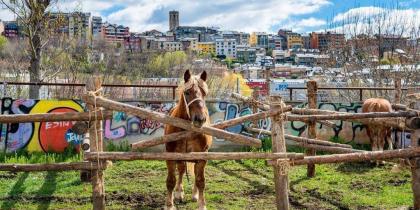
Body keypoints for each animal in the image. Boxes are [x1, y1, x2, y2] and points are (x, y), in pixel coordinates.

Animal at [162, 69, 212, 209]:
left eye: (204, 93)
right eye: (187, 92)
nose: (200, 119)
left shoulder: (202, 156)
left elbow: (200, 181)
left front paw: (202, 204)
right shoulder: (171, 155)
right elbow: (171, 180)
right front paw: (169, 204)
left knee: (194, 173)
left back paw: (195, 194)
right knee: (181, 170)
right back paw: (179, 193)